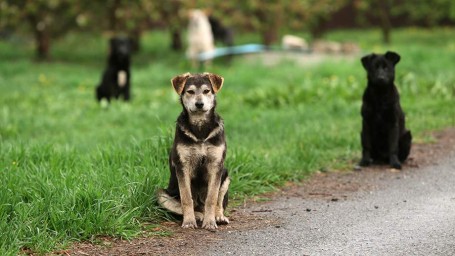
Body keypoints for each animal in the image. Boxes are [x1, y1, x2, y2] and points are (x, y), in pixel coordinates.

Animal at [159, 71, 232, 230]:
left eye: (207, 91)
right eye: (190, 92)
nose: (199, 104)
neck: (200, 129)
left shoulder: (216, 164)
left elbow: (212, 198)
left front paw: (210, 222)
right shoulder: (182, 165)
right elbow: (187, 198)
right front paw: (188, 221)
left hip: (226, 175)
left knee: (219, 201)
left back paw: (218, 216)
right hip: (162, 194)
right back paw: (198, 215)